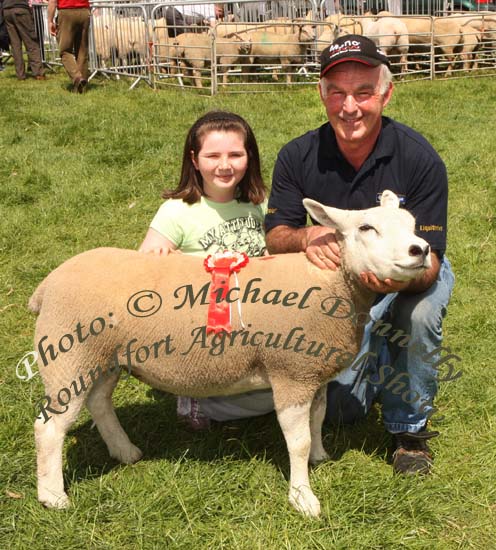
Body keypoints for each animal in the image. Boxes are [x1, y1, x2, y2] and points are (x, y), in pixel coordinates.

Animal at [29, 192, 430, 520]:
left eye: (412, 224)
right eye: (366, 227)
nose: (421, 249)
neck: (329, 283)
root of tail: (46, 286)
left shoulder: (312, 373)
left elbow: (316, 419)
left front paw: (319, 456)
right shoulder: (290, 372)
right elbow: (297, 440)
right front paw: (303, 497)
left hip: (104, 357)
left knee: (99, 403)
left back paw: (125, 451)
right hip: (69, 356)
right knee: (49, 428)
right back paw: (53, 496)